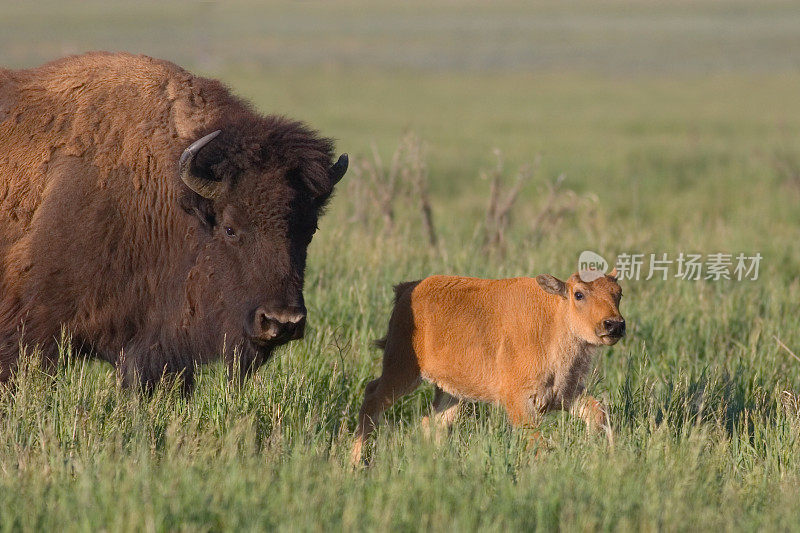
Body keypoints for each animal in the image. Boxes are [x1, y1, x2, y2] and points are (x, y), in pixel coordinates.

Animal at [352, 268, 624, 464]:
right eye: (579, 294)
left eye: (618, 293)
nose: (614, 324)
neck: (555, 318)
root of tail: (408, 288)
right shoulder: (518, 400)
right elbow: (536, 440)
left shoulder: (565, 394)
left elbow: (598, 411)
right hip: (402, 370)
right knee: (373, 397)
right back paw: (356, 463)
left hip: (451, 392)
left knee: (433, 421)